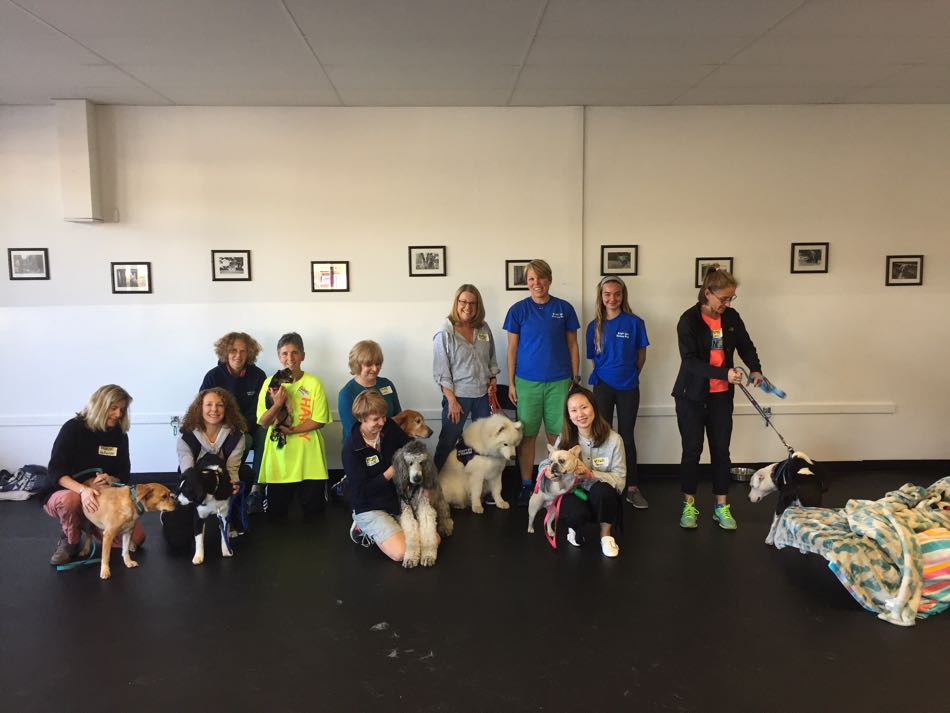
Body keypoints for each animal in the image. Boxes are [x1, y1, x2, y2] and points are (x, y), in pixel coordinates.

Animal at [392, 440, 456, 568]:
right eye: (410, 463)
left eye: (422, 462)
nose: (417, 478)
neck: (413, 489)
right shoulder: (406, 510)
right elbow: (411, 533)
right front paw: (411, 558)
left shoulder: (425, 508)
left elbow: (428, 533)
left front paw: (428, 556)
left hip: (440, 503)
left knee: (446, 518)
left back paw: (445, 527)